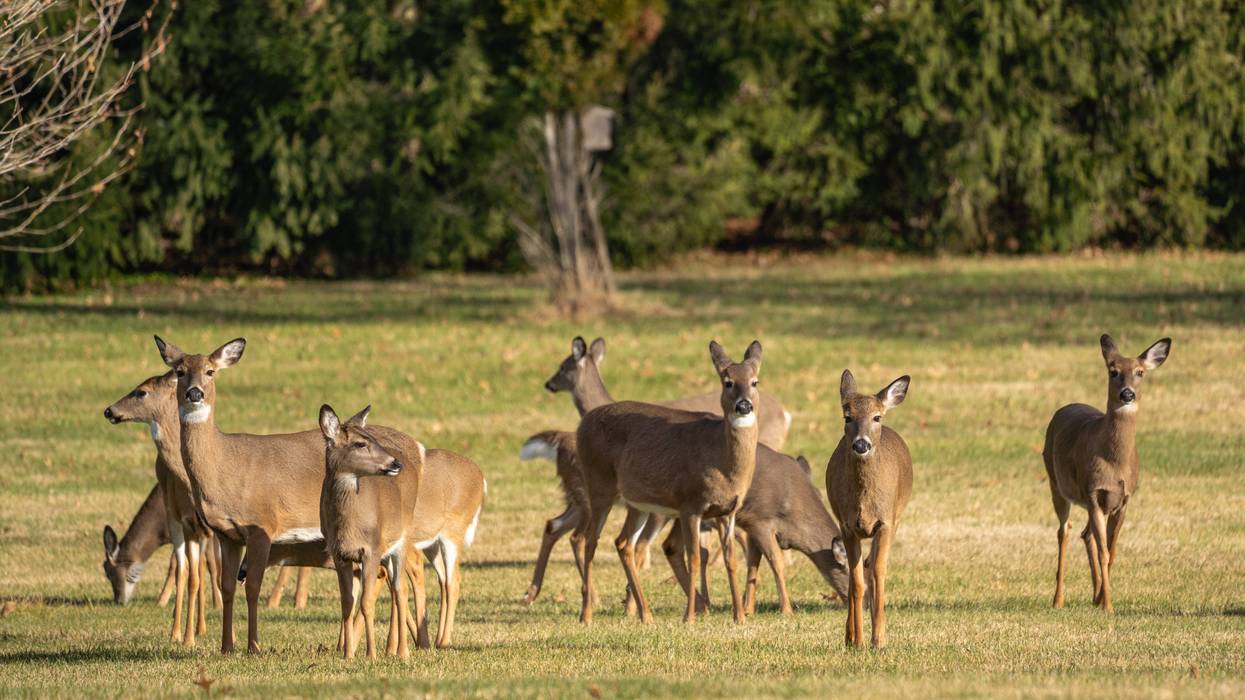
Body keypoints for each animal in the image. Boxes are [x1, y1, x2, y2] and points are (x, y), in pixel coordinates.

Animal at [153, 335, 339, 654]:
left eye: (211, 371)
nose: (195, 393)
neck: (225, 467)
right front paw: (226, 646)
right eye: (180, 371)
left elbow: (252, 586)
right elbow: (227, 586)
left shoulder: (263, 525)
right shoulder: (226, 534)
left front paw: (254, 646)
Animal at [318, 404, 421, 660]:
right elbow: (347, 602)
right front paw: (347, 655)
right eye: (359, 443)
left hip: (401, 538)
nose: (395, 464)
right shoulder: (339, 554)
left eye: (373, 439)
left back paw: (402, 652)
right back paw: (393, 649)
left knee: (400, 589)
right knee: (395, 589)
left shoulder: (372, 549)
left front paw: (370, 654)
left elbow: (366, 602)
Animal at [573, 340, 764, 625]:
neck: (723, 463)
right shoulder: (690, 504)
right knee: (589, 540)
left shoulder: (728, 511)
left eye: (754, 382)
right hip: (599, 484)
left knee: (623, 542)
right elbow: (693, 558)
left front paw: (739, 617)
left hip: (637, 502)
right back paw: (586, 615)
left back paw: (646, 615)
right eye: (728, 382)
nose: (744, 406)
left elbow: (731, 559)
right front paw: (689, 618)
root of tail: (582, 423)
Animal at [826, 370, 912, 650]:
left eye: (876, 417)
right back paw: (849, 636)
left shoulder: (885, 522)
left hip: (897, 518)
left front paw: (879, 639)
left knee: (872, 566)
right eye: (847, 416)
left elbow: (878, 573)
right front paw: (859, 640)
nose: (861, 445)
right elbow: (856, 582)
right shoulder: (847, 525)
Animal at [1044, 334, 1171, 613]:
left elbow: (1112, 551)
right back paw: (1058, 600)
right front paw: (1109, 605)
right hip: (1056, 484)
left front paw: (1103, 599)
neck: (1115, 462)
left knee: (1085, 534)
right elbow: (1104, 552)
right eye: (1113, 371)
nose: (1127, 393)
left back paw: (1094, 596)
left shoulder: (1124, 499)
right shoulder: (1092, 492)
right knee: (1064, 531)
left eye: (1140, 372)